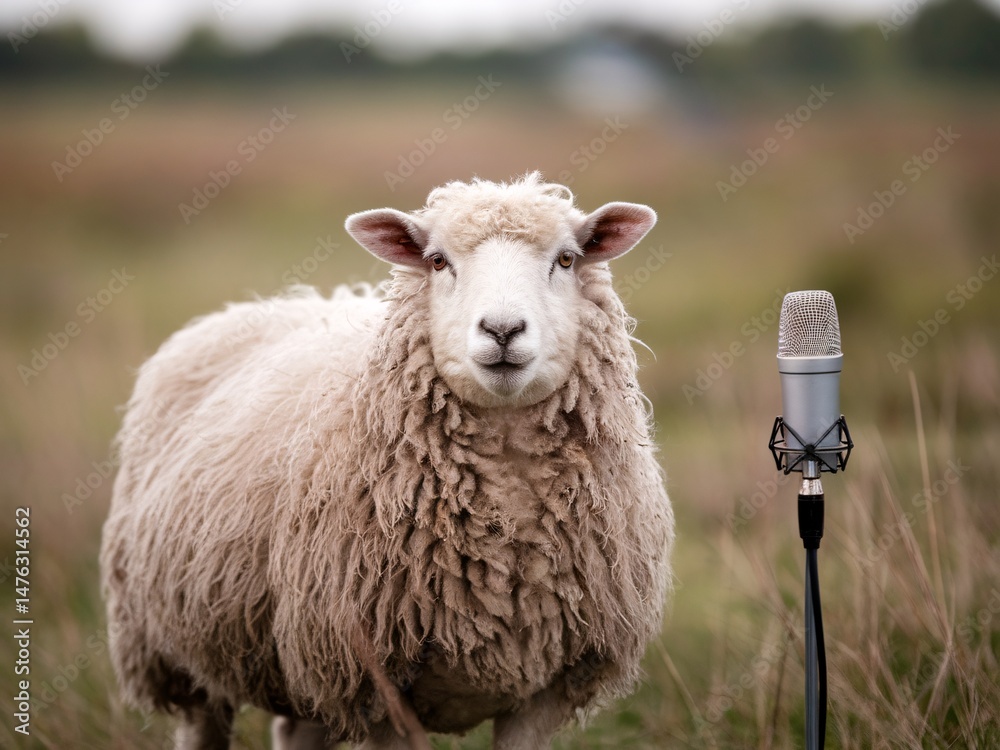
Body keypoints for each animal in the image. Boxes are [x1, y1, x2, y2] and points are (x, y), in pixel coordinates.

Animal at [100, 172, 675, 749]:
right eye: (438, 261)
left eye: (566, 259)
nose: (502, 330)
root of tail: (262, 306)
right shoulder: (373, 683)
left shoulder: (549, 687)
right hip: (171, 648)